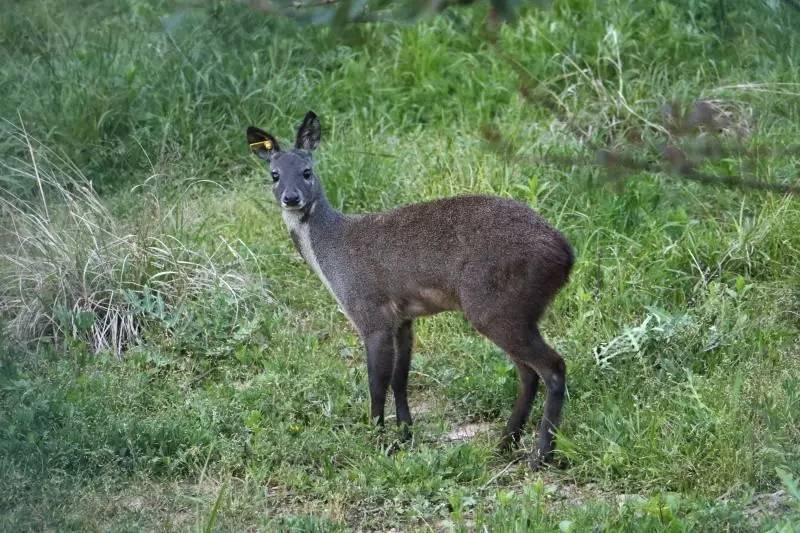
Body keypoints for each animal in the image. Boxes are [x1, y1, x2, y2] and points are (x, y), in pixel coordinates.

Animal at [245, 110, 576, 468]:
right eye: (274, 175)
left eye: (307, 172)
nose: (291, 198)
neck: (332, 253)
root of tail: (565, 256)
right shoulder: (403, 318)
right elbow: (400, 378)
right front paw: (405, 434)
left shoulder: (370, 313)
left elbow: (376, 382)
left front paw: (376, 440)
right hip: (512, 312)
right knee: (528, 374)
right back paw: (504, 444)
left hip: (495, 306)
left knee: (552, 367)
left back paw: (540, 454)